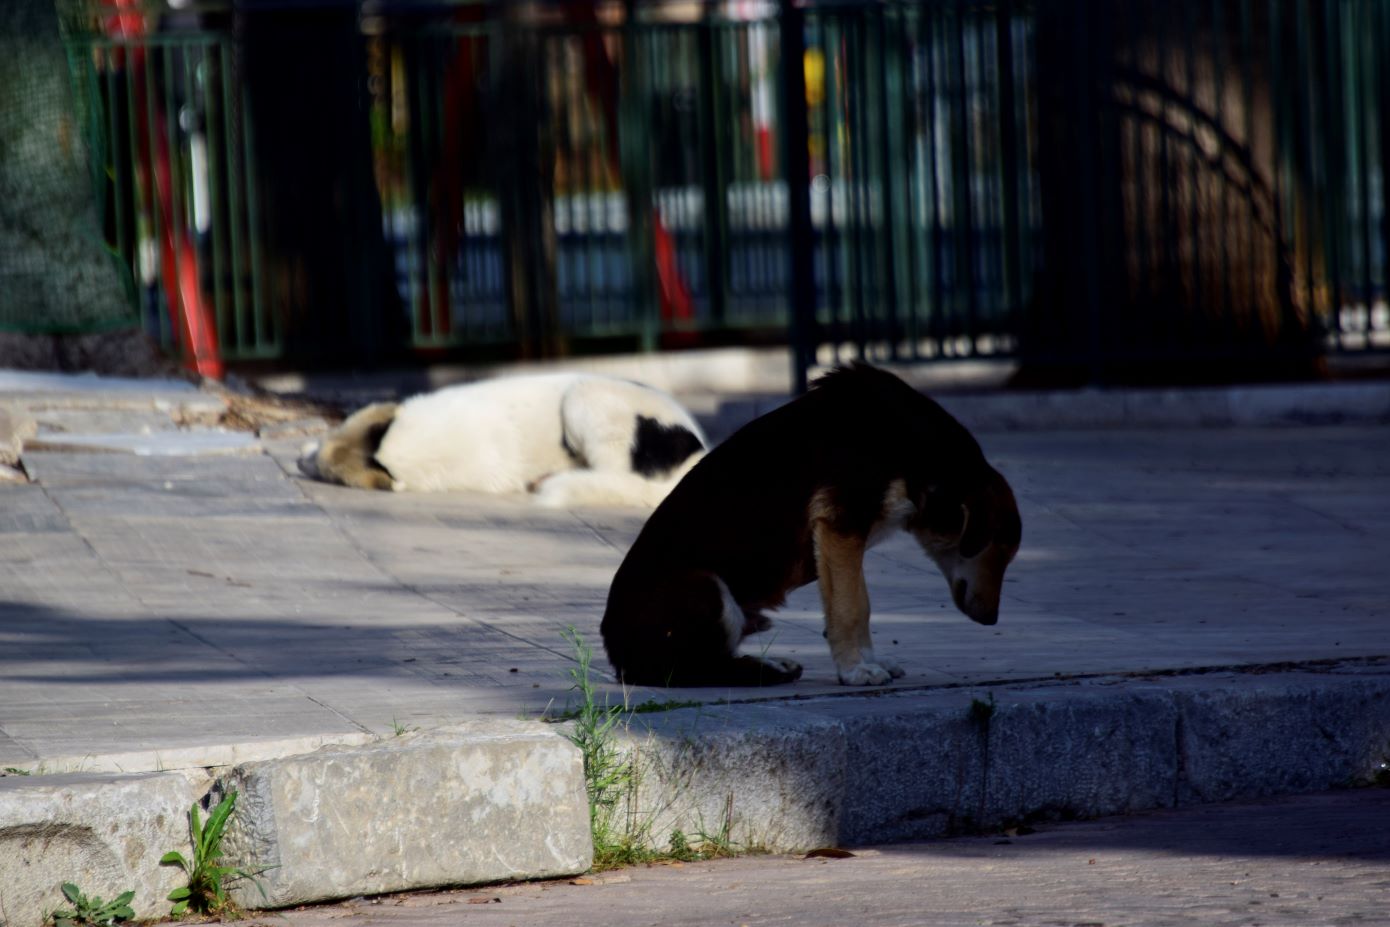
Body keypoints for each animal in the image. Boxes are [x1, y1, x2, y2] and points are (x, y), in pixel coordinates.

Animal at [600, 361, 1023, 689]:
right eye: (999, 549)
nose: (992, 620)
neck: (910, 444)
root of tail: (617, 653)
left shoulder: (841, 541)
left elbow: (851, 604)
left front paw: (869, 662)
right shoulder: (842, 526)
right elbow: (854, 607)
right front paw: (855, 671)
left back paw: (773, 664)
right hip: (705, 587)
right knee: (693, 670)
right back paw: (766, 672)